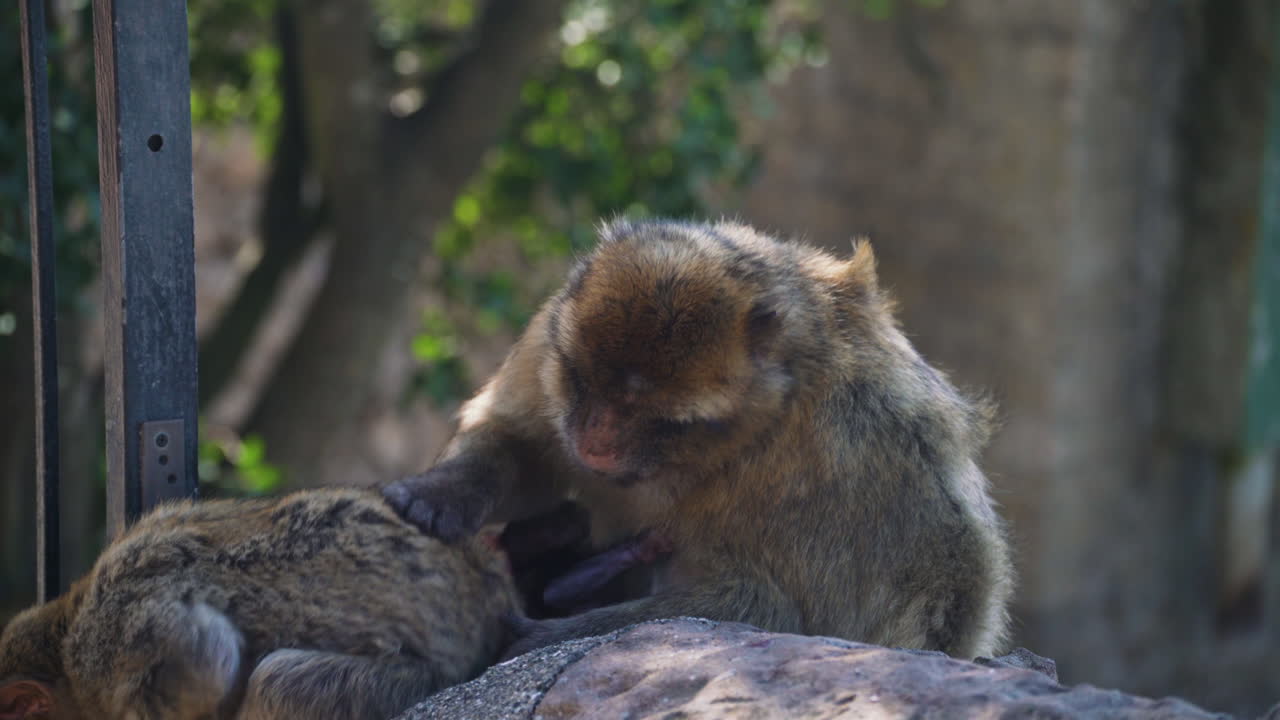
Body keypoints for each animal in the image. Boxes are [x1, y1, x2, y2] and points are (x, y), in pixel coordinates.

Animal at [382, 218, 1015, 661]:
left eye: (665, 420)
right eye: (582, 381)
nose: (595, 444)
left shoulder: (843, 459)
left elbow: (769, 606)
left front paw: (543, 635)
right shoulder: (547, 342)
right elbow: (522, 443)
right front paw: (442, 493)